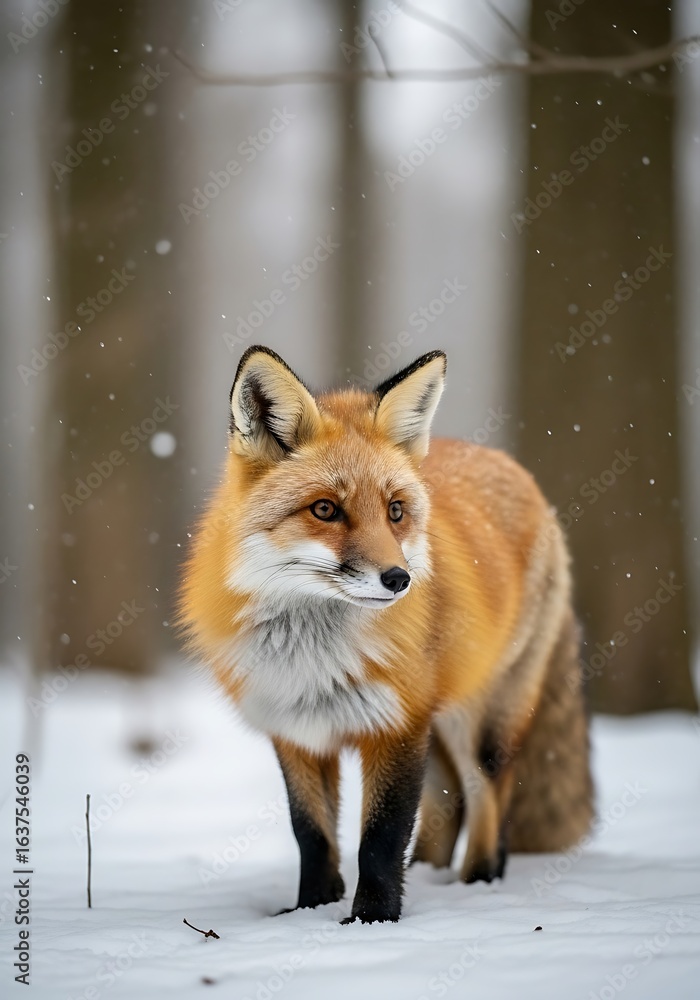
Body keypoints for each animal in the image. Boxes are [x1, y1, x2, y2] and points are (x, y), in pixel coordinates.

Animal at [179, 345, 594, 924]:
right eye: (325, 509)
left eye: (395, 511)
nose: (399, 579)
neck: (315, 658)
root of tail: (511, 465)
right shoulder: (298, 730)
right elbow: (312, 835)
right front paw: (311, 909)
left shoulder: (396, 724)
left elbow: (380, 837)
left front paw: (371, 920)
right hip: (438, 722)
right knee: (447, 802)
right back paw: (428, 875)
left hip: (478, 716)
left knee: (488, 794)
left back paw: (480, 881)